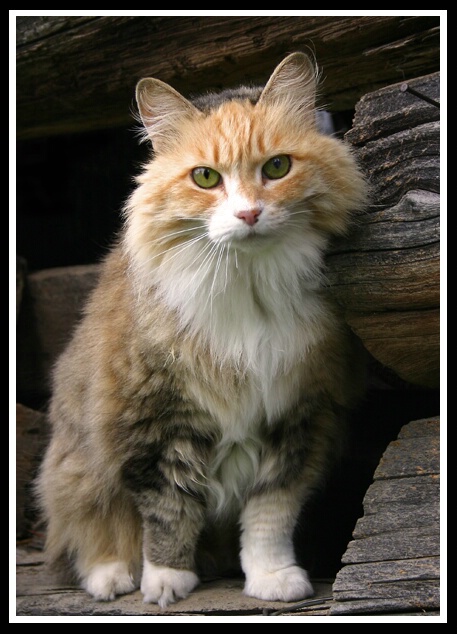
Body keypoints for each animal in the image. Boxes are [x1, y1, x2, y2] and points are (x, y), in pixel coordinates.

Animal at [33, 54, 366, 608]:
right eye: (206, 177)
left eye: (277, 167)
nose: (248, 213)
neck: (249, 290)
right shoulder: (154, 421)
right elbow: (169, 514)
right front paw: (166, 584)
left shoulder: (301, 415)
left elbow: (270, 515)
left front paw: (273, 579)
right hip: (76, 471)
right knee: (88, 537)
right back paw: (113, 578)